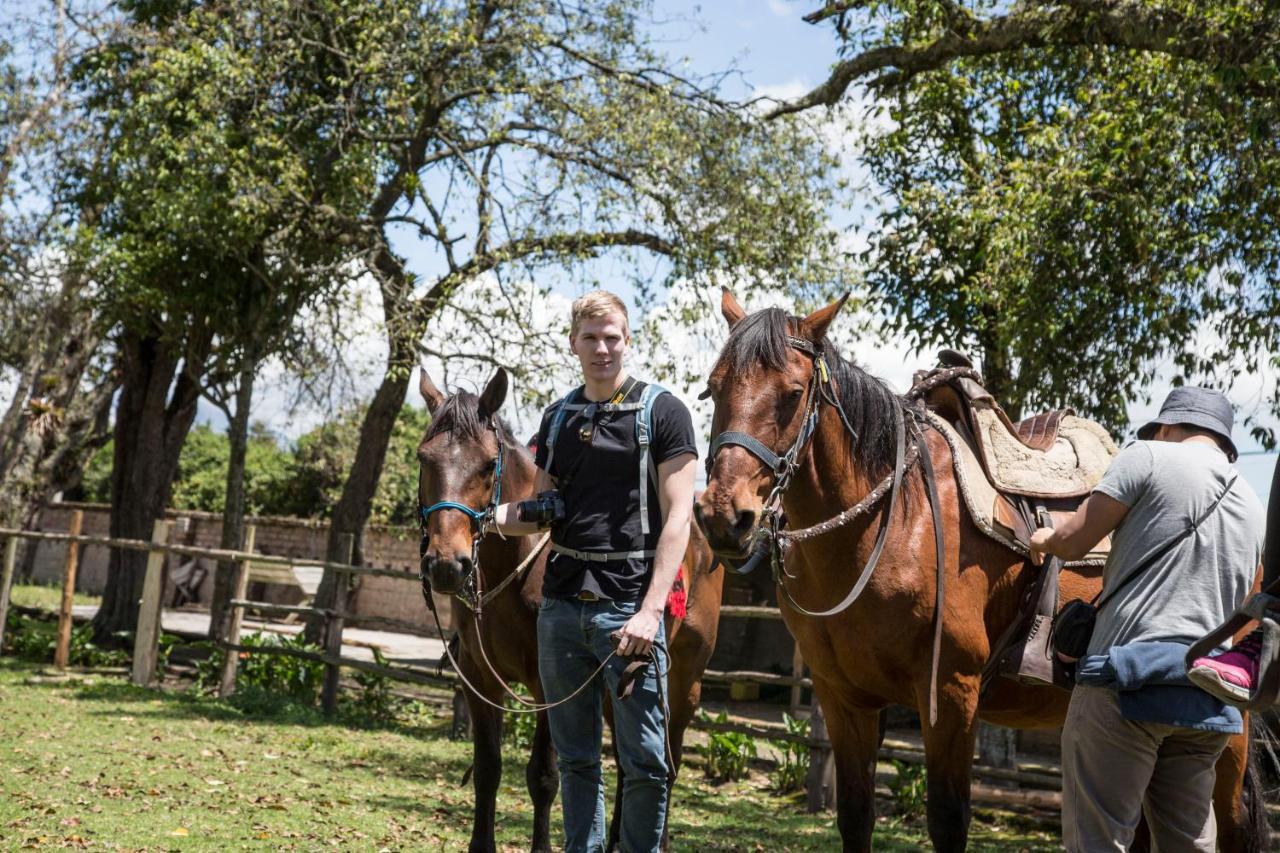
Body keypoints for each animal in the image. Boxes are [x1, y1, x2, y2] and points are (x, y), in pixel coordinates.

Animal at [696, 290, 1264, 850]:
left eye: (793, 393)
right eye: (713, 388)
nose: (724, 515)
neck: (887, 526)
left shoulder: (951, 696)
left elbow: (948, 819)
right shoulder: (844, 699)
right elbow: (855, 815)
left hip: (1227, 727)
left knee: (1230, 822)